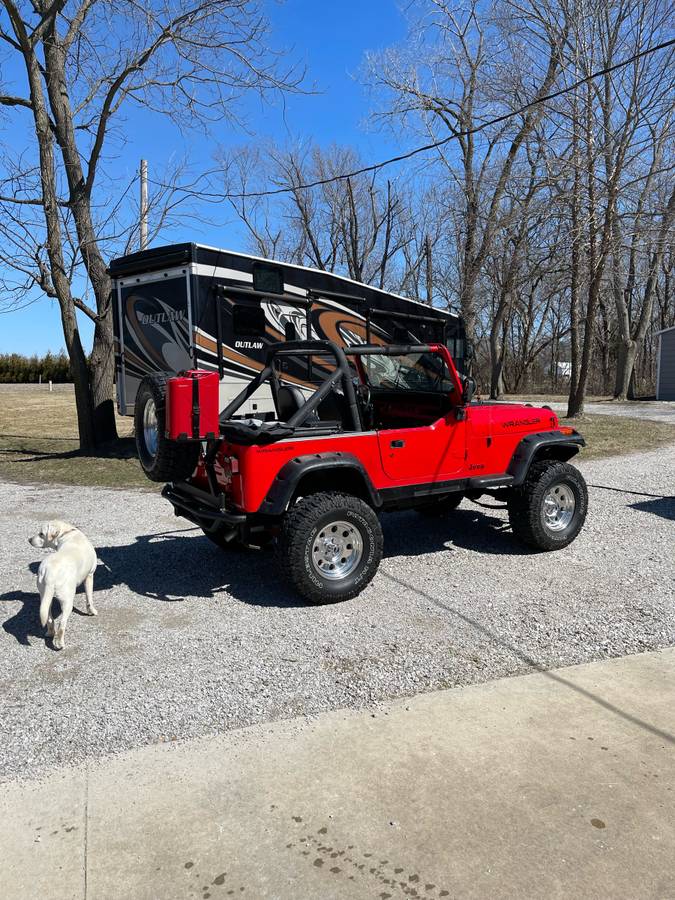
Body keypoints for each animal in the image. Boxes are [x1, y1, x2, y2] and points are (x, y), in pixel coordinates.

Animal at [29, 520, 98, 648]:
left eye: (41, 534)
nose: (29, 540)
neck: (67, 533)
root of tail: (50, 574)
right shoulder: (90, 576)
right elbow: (89, 599)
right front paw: (92, 612)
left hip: (45, 599)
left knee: (49, 620)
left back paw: (50, 633)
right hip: (67, 601)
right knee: (62, 624)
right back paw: (59, 643)